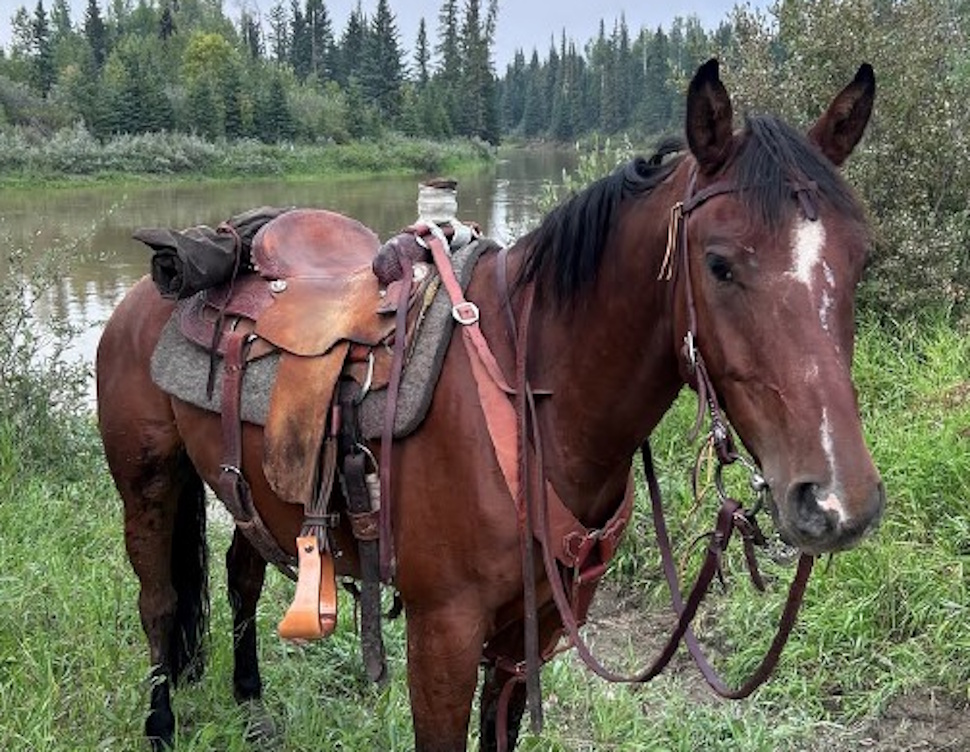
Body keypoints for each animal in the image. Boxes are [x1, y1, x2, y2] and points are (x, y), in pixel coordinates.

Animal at [96, 59, 884, 751]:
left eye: (861, 259)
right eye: (719, 263)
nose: (838, 502)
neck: (531, 398)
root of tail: (154, 286)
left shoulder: (528, 631)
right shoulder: (443, 634)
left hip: (253, 494)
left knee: (242, 573)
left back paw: (252, 707)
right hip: (149, 485)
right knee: (158, 602)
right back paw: (160, 725)